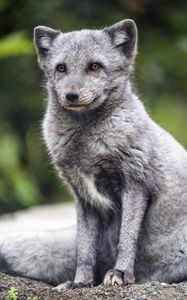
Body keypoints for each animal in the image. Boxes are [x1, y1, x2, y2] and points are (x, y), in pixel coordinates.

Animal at [0, 19, 187, 290]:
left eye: (95, 66)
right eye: (61, 68)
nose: (71, 95)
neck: (88, 144)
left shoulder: (136, 185)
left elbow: (126, 238)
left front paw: (121, 273)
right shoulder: (84, 197)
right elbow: (85, 248)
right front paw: (81, 283)